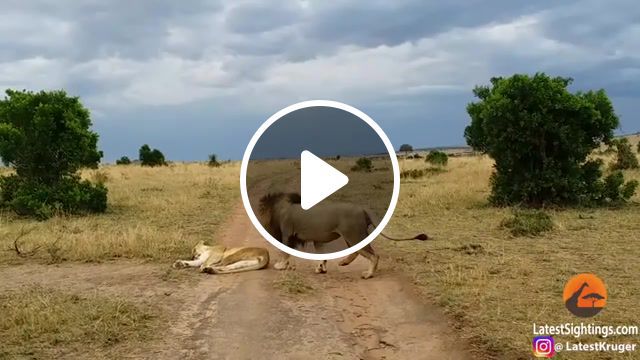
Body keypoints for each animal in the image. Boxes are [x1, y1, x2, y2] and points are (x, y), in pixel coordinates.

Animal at [258, 193, 428, 280]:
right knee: (359, 251)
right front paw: (321, 268)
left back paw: (368, 274)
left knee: (373, 255)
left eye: (262, 208)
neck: (280, 208)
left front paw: (280, 266)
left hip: (354, 234)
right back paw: (344, 262)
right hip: (352, 235)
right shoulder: (317, 239)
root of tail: (362, 208)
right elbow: (321, 255)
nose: (259, 216)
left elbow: (284, 252)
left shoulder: (287, 234)